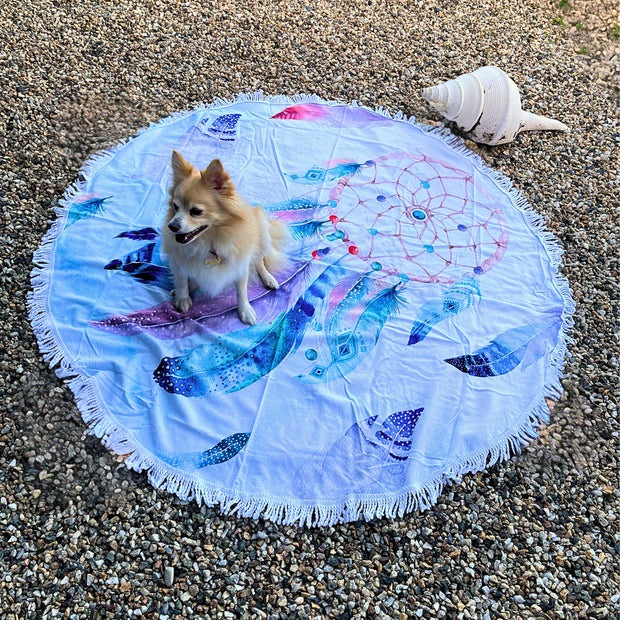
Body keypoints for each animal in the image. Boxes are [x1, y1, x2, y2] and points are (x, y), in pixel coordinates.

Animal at [162, 151, 288, 324]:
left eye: (196, 211)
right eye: (175, 207)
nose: (172, 226)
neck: (208, 241)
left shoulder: (241, 265)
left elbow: (241, 291)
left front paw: (245, 310)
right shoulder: (177, 260)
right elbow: (181, 280)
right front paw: (182, 298)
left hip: (262, 237)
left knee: (259, 262)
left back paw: (269, 278)